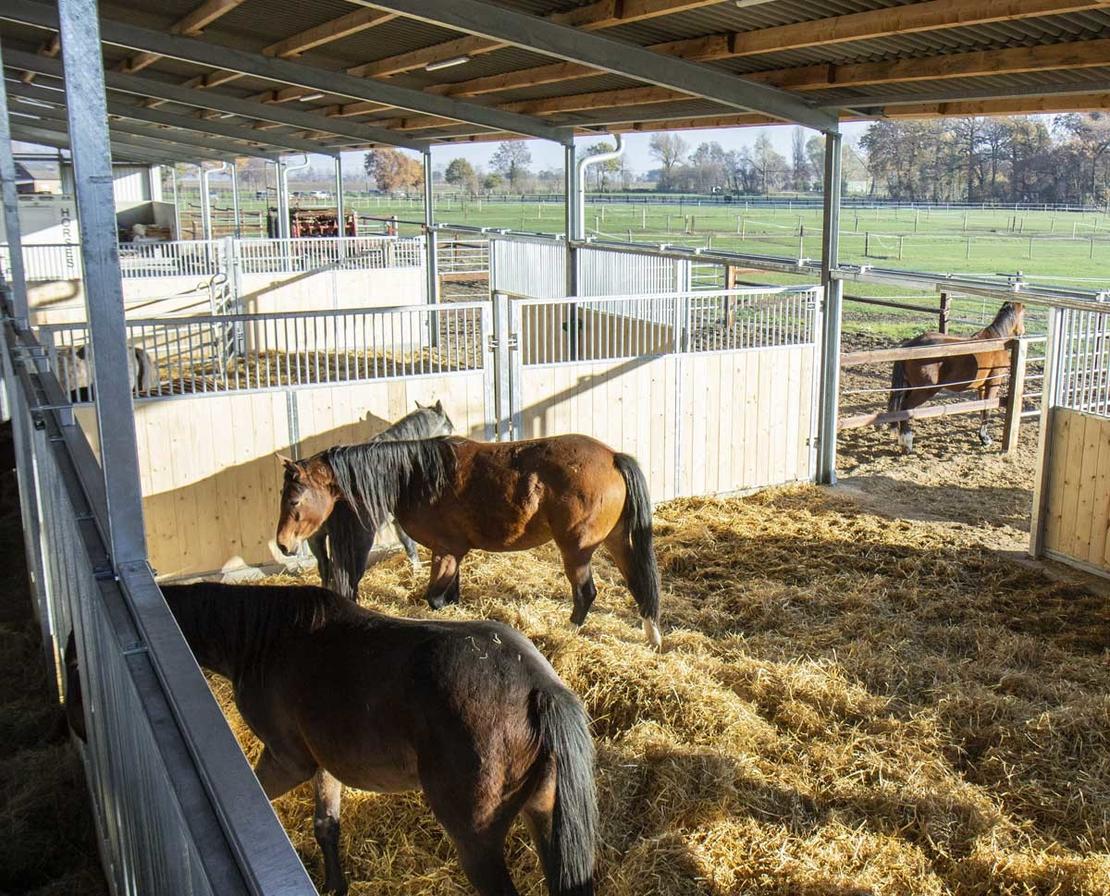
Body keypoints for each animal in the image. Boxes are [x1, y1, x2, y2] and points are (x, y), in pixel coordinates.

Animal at [64, 583, 598, 896]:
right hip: (544, 816)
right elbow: (327, 826)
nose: (76, 724)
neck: (264, 641)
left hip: (476, 836)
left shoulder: (288, 760)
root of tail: (540, 688)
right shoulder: (324, 764)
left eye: (73, 662)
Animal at [275, 434, 663, 648]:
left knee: (586, 593)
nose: (282, 545)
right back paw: (652, 635)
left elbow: (435, 599)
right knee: (639, 584)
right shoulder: (452, 554)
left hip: (576, 549)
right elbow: (450, 596)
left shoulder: (445, 551)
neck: (416, 476)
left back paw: (568, 632)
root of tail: (613, 457)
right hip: (617, 541)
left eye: (294, 500)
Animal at [886, 301, 1025, 454]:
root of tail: (910, 345)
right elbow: (987, 408)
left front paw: (982, 437)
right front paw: (985, 439)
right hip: (924, 390)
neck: (995, 341)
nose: (1023, 331)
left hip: (911, 387)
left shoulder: (981, 387)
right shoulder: (993, 383)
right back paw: (907, 443)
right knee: (905, 408)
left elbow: (982, 408)